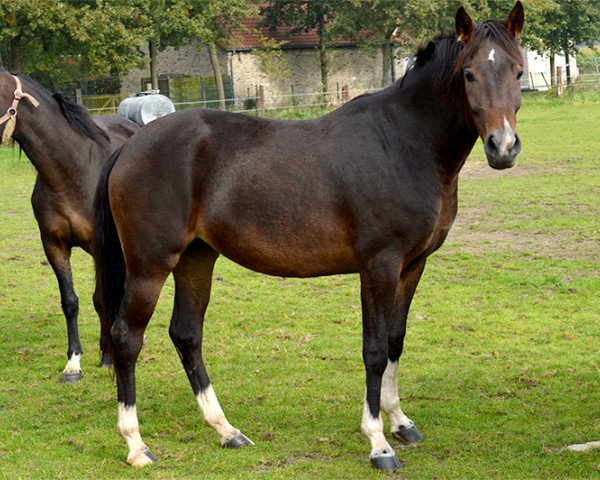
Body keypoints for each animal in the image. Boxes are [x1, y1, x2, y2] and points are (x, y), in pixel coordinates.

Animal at [0, 71, 140, 382]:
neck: (71, 172)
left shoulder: (101, 248)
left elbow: (102, 299)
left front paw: (107, 357)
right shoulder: (54, 245)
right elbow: (70, 301)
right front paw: (74, 363)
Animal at [94, 1, 524, 470]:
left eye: (518, 71)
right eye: (469, 74)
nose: (503, 147)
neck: (403, 143)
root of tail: (132, 145)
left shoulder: (413, 265)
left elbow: (395, 341)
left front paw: (401, 423)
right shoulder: (379, 265)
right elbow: (374, 350)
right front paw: (379, 442)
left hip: (196, 258)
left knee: (187, 335)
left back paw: (226, 431)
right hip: (150, 265)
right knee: (126, 338)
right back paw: (136, 444)